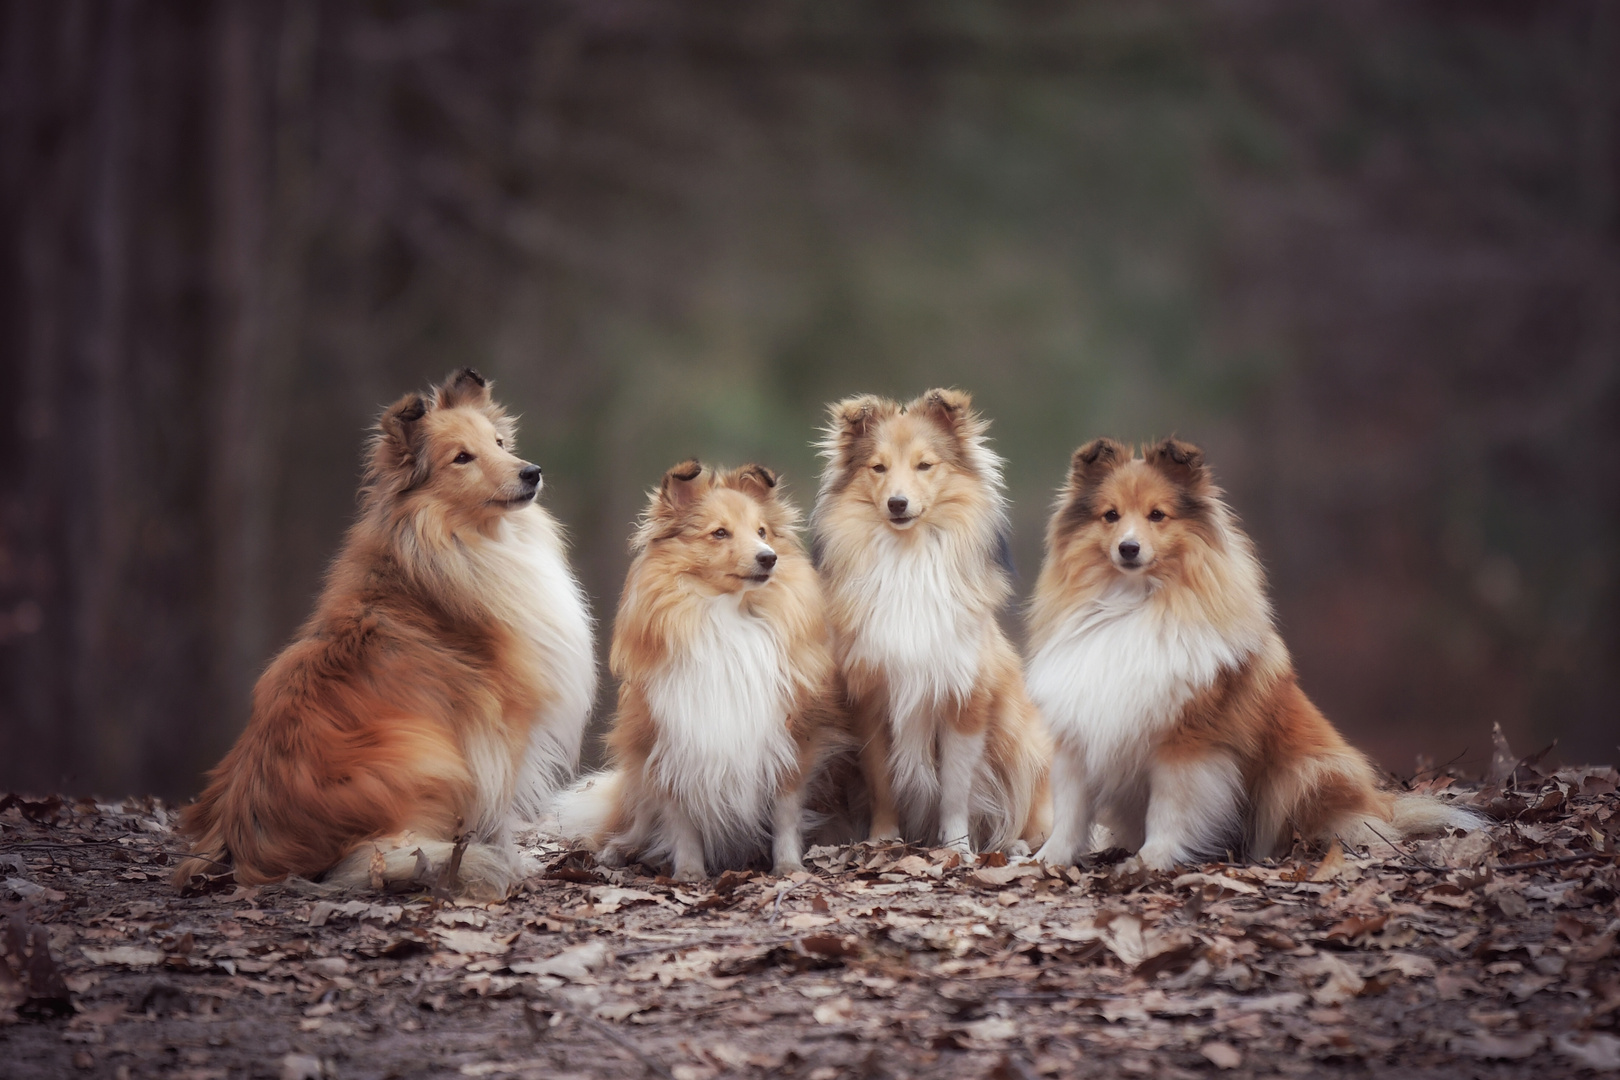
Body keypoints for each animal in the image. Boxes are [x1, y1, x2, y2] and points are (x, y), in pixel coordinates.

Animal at [177, 367, 596, 900]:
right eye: (462, 457)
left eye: (500, 442)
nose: (532, 472)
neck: (452, 545)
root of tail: (249, 853)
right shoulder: (500, 727)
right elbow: (498, 812)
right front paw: (514, 864)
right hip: (426, 761)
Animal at [550, 459, 842, 880]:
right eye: (719, 533)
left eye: (762, 532)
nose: (769, 557)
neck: (728, 616)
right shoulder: (668, 741)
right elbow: (679, 817)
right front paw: (689, 871)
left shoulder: (792, 739)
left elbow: (786, 812)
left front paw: (788, 866)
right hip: (637, 770)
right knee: (635, 822)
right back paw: (618, 851)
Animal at [810, 388, 1049, 854]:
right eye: (878, 467)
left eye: (925, 465)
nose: (897, 504)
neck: (909, 556)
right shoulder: (871, 700)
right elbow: (882, 781)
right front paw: (883, 839)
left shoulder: (963, 699)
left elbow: (955, 786)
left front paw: (956, 848)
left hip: (1023, 746)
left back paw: (1015, 846)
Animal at [1023, 437, 1483, 867]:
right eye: (1111, 515)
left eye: (1157, 515)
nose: (1128, 548)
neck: (1131, 605)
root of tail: (1382, 805)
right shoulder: (1079, 733)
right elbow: (1070, 811)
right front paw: (1048, 859)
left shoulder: (1186, 743)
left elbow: (1169, 809)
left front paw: (1153, 859)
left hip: (1304, 773)